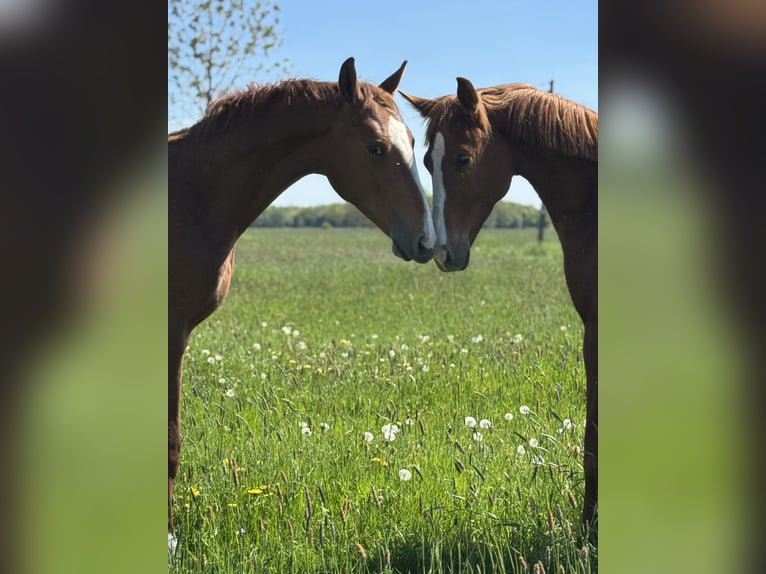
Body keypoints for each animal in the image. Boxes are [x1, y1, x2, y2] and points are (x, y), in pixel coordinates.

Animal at [168, 58, 436, 545]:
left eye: (411, 142)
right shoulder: (170, 331)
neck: (193, 194)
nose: (427, 240)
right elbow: (170, 440)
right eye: (375, 148)